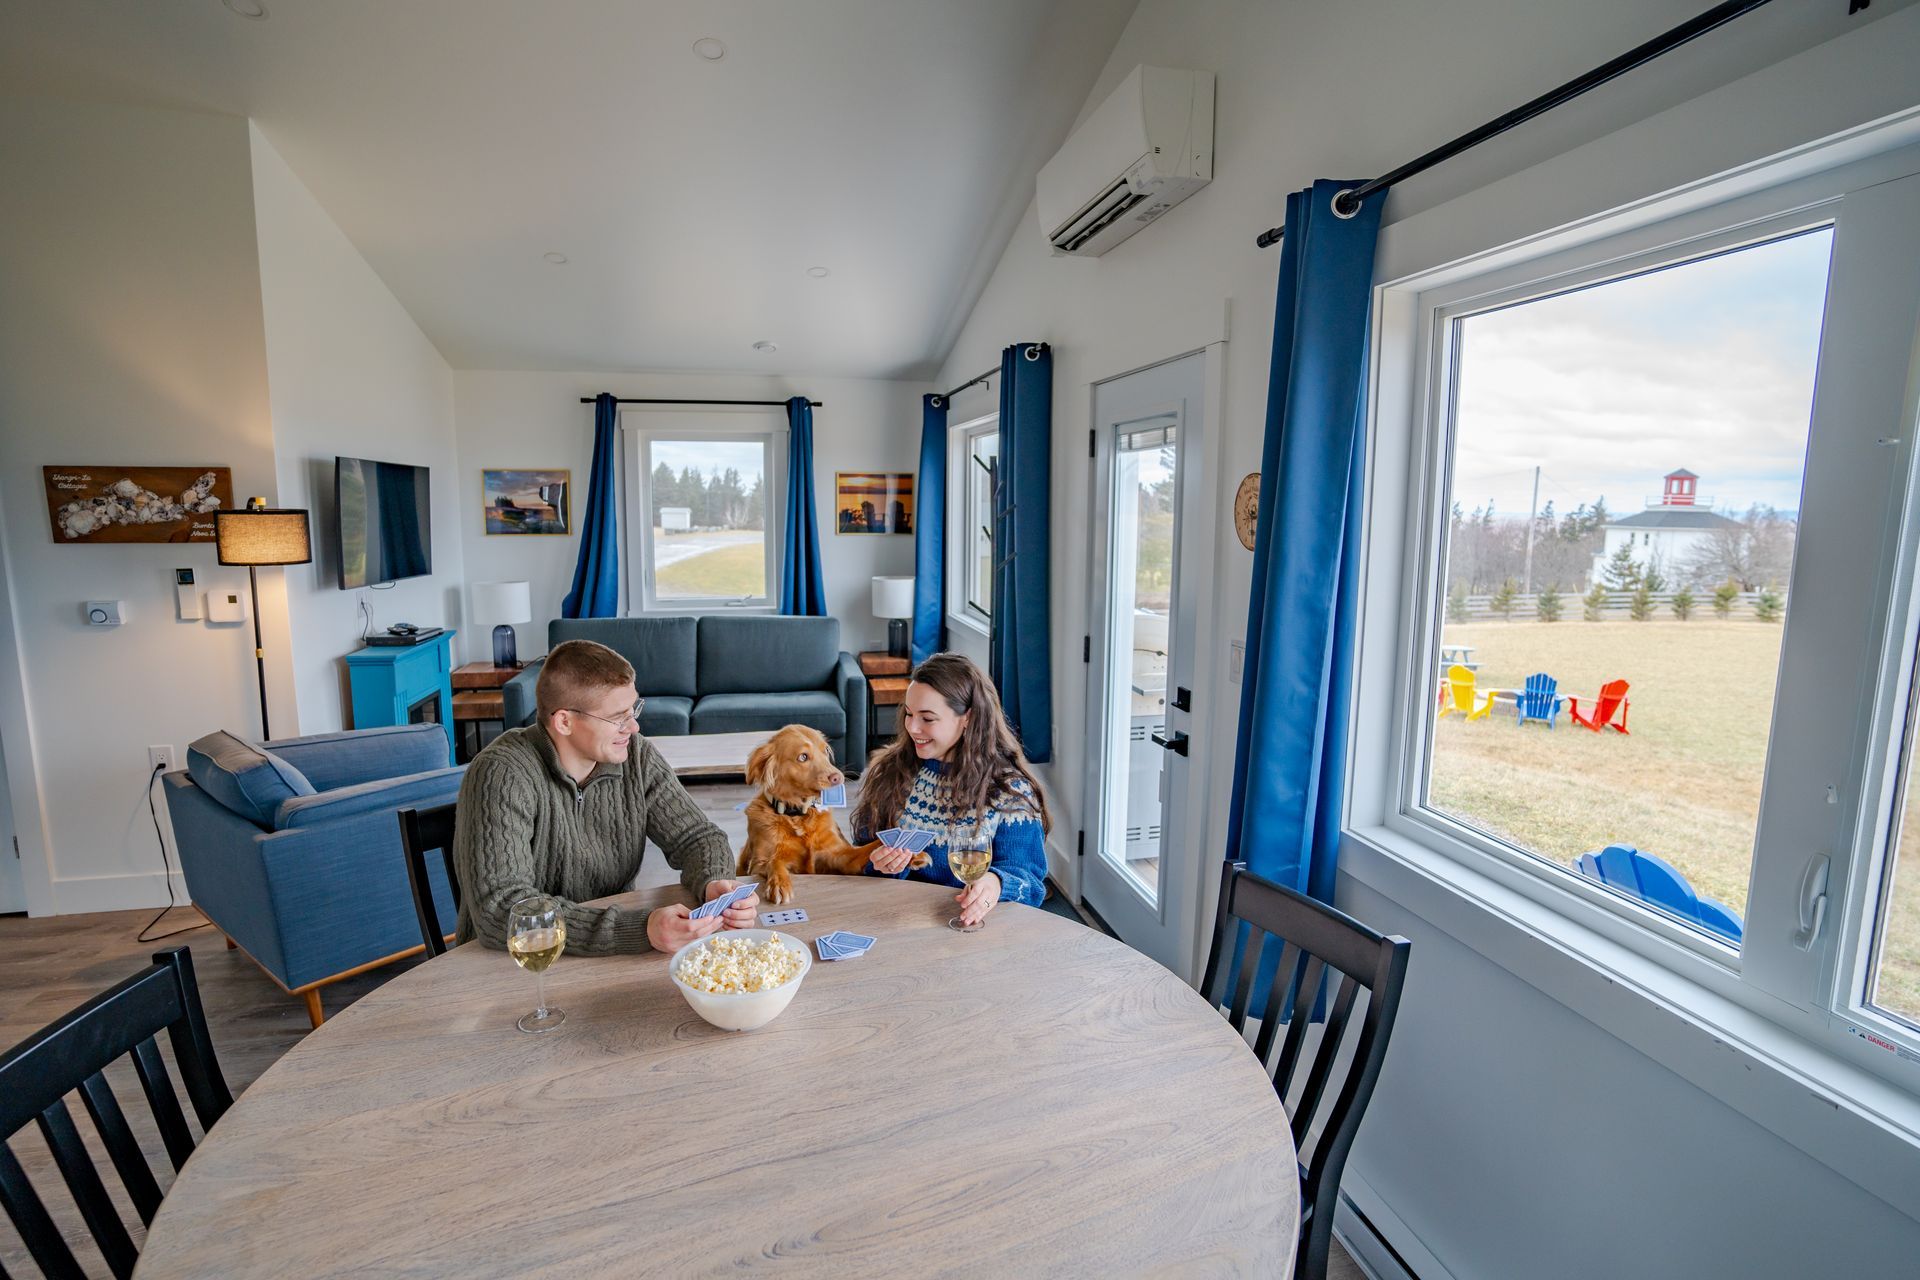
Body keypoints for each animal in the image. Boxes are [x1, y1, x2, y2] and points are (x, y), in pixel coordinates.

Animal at [733, 725, 921, 905]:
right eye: (803, 757)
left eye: (824, 751)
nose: (838, 777)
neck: (798, 815)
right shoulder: (757, 865)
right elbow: (774, 862)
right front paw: (779, 884)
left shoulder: (840, 857)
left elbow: (870, 847)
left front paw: (910, 852)